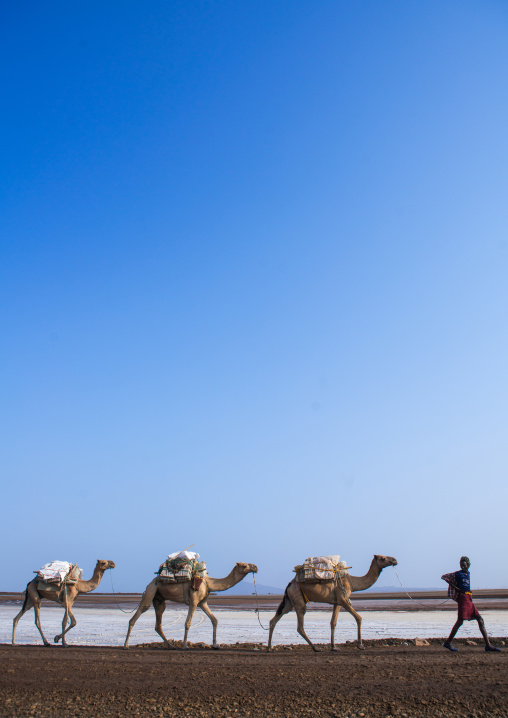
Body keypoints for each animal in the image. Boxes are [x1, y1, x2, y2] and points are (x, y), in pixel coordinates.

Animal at [124, 561, 258, 650]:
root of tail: (150, 583)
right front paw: (185, 645)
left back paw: (171, 645)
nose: (256, 567)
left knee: (158, 623)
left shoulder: (202, 602)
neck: (209, 583)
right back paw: (125, 645)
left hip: (159, 599)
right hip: (151, 590)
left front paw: (215, 645)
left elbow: (214, 619)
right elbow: (188, 623)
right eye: (245, 565)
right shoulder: (194, 601)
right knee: (138, 614)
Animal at [267, 554, 398, 652]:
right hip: (298, 599)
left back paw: (270, 648)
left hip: (289, 601)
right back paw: (316, 648)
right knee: (300, 626)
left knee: (275, 619)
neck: (352, 582)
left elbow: (333, 622)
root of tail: (289, 585)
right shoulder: (343, 599)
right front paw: (360, 645)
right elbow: (358, 618)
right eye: (383, 558)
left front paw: (334, 647)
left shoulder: (337, 602)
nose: (394, 560)